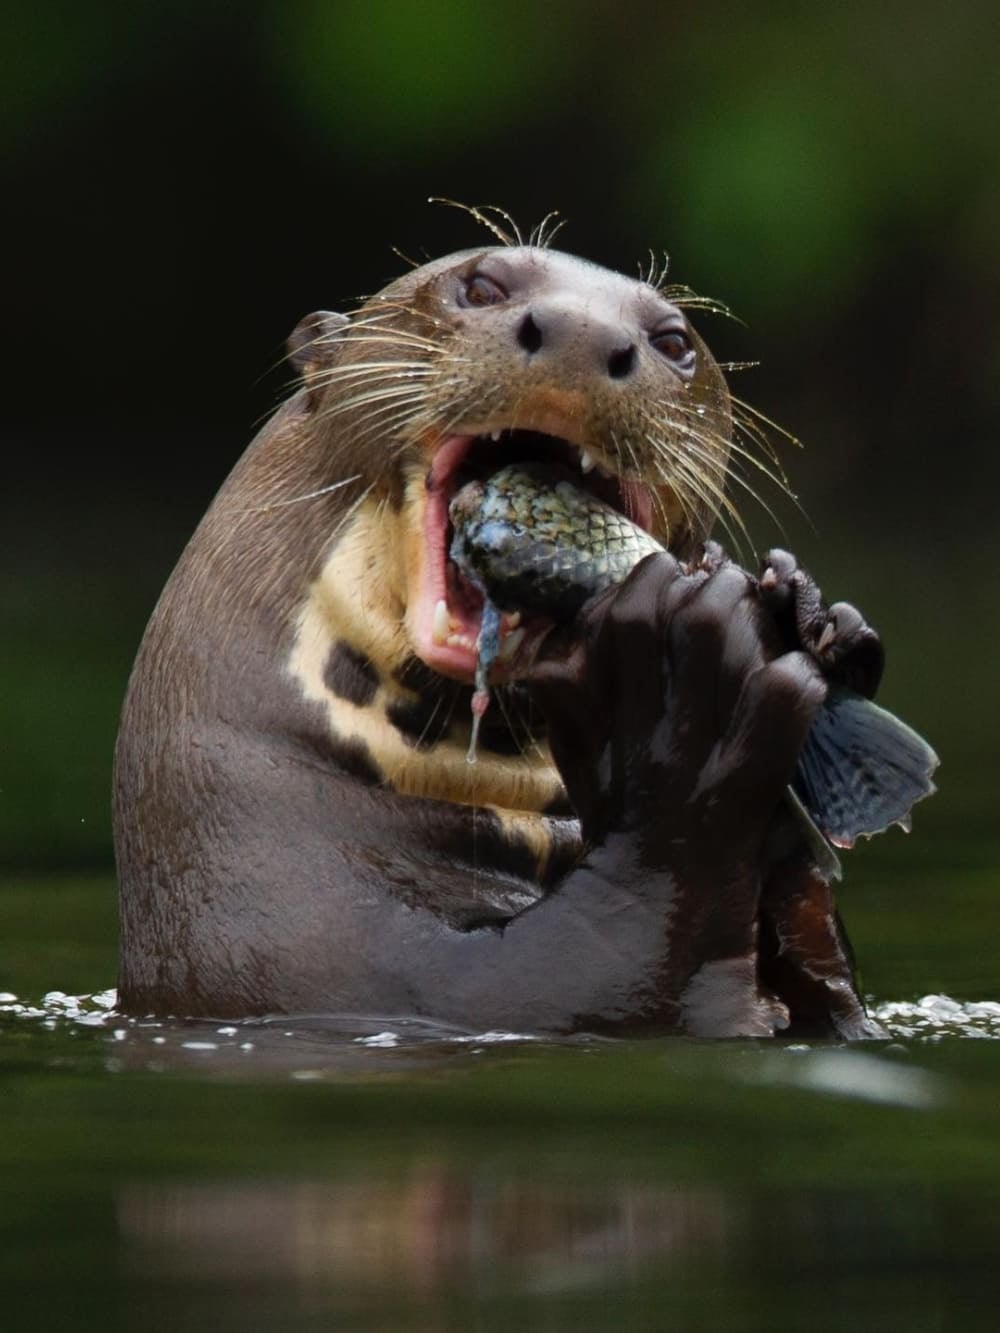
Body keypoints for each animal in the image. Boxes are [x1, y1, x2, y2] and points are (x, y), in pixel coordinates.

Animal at [113, 242, 884, 1038]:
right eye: (481, 286)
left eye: (674, 341)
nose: (583, 332)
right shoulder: (330, 957)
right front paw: (684, 706)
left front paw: (809, 611)